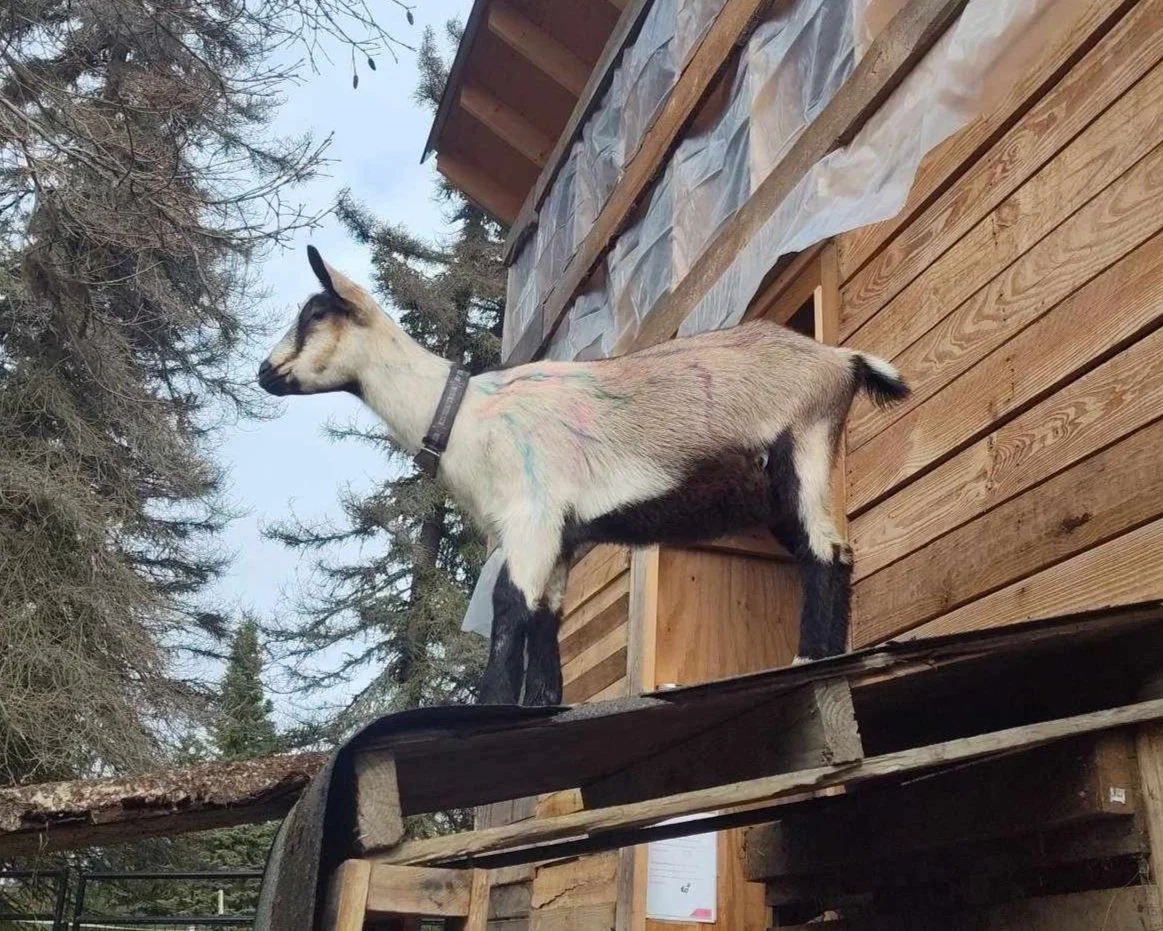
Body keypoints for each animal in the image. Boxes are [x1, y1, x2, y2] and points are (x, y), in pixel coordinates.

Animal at [260, 246, 910, 706]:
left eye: (316, 313)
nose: (265, 373)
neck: (465, 413)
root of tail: (841, 360)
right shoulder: (561, 534)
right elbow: (546, 613)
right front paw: (542, 702)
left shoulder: (531, 515)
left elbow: (509, 602)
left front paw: (490, 705)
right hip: (772, 494)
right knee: (828, 551)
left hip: (803, 448)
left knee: (825, 551)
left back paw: (810, 660)